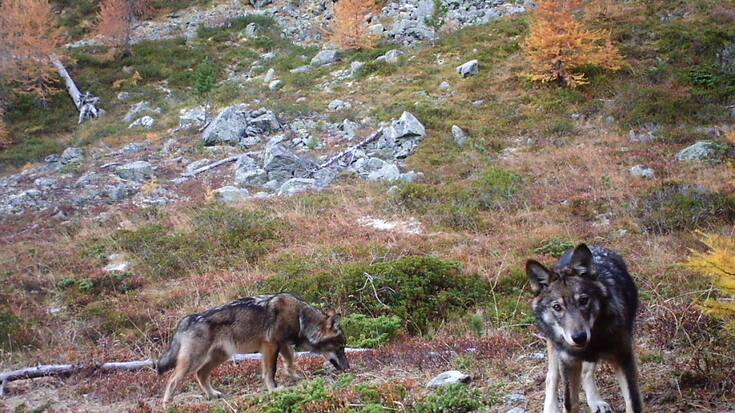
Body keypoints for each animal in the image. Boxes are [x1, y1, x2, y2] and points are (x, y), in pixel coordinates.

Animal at [156, 293, 349, 407]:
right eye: (340, 348)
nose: (348, 368)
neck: (299, 317)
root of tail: (187, 319)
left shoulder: (283, 345)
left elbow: (289, 364)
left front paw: (296, 378)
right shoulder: (270, 345)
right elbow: (271, 371)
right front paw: (274, 390)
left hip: (220, 357)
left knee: (201, 374)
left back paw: (212, 394)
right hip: (194, 361)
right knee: (172, 379)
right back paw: (167, 404)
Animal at [526, 243, 642, 413]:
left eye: (583, 300)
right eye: (557, 307)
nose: (579, 337)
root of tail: (595, 246)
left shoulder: (624, 358)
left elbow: (633, 403)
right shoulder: (568, 363)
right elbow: (570, 404)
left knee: (586, 372)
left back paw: (596, 402)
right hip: (554, 349)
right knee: (551, 377)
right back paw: (551, 408)